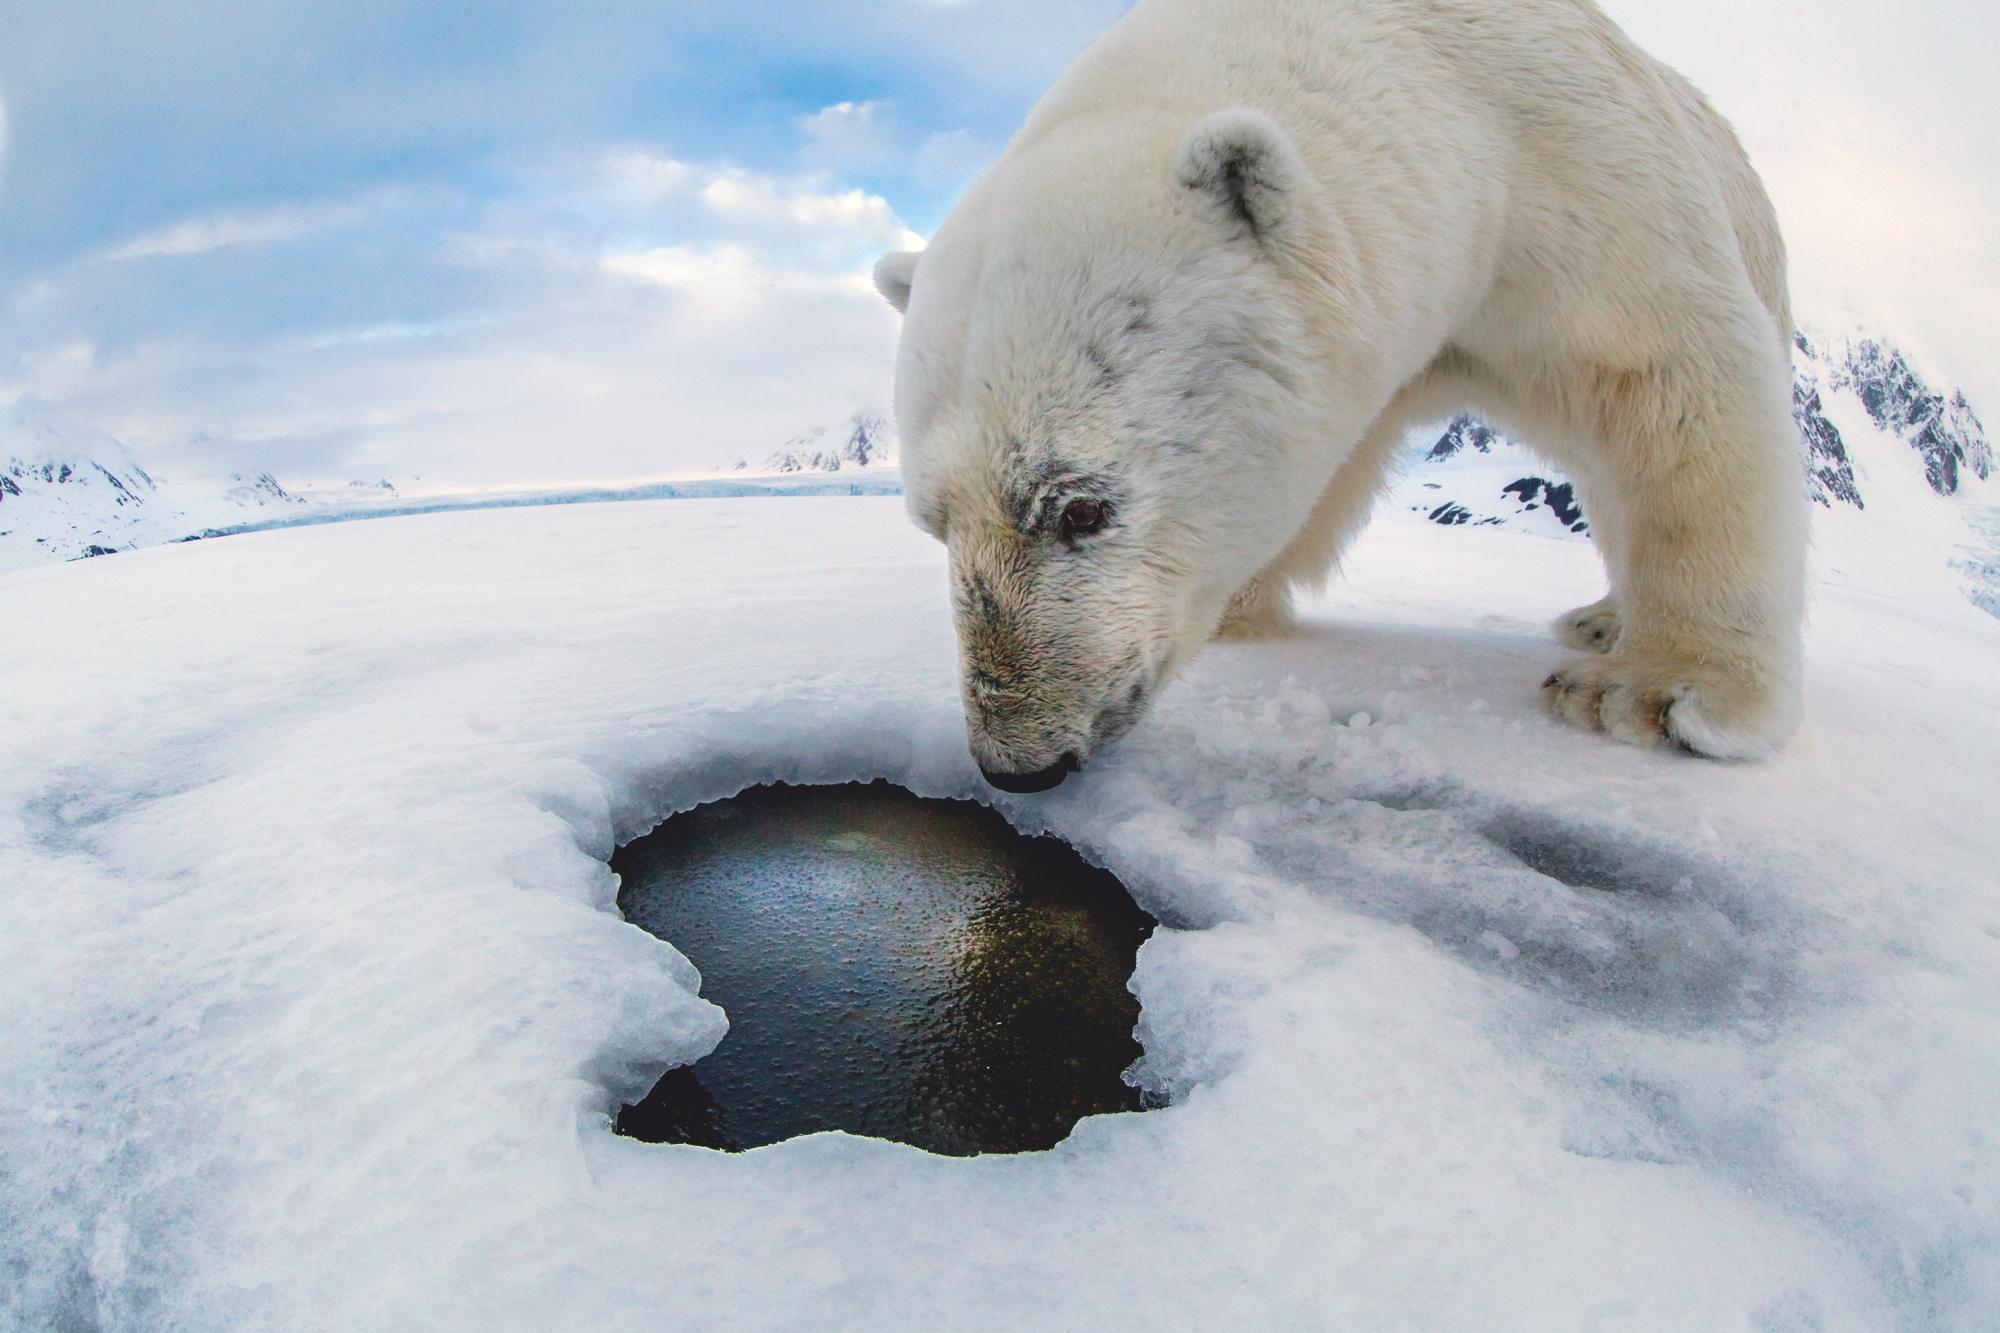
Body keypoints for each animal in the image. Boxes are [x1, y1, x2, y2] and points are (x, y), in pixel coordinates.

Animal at [876, 0, 1816, 788]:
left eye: (1080, 506)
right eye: (932, 521)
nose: (1021, 760)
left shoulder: (1582, 182)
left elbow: (1673, 383)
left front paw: (1655, 693)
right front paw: (1239, 607)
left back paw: (1603, 626)